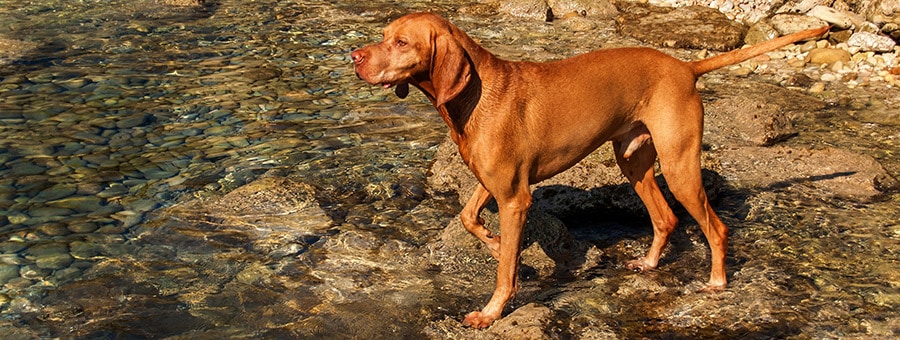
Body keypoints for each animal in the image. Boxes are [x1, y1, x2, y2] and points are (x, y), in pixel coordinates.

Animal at [352, 12, 828, 326]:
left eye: (402, 43)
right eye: (383, 35)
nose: (355, 56)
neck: (475, 95)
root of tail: (685, 66)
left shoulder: (514, 197)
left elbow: (504, 272)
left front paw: (491, 311)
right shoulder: (495, 183)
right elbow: (470, 218)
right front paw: (496, 244)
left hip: (679, 166)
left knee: (716, 227)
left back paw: (716, 282)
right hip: (633, 162)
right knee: (665, 217)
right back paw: (649, 263)